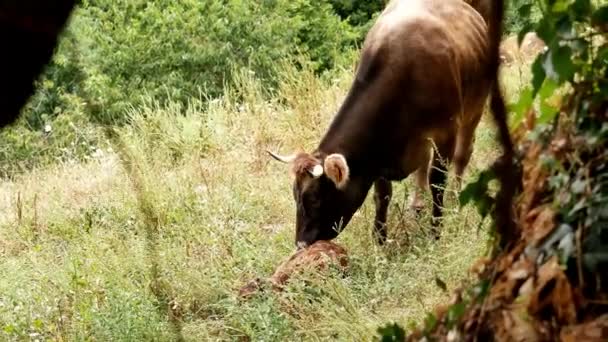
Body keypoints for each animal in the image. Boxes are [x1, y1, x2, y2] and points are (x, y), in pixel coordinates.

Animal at [270, 0, 504, 247]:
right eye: (295, 195)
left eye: (315, 199)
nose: (301, 244)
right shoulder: (381, 148)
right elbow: (382, 194)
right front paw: (380, 239)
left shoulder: (446, 131)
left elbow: (438, 181)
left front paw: (436, 232)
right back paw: (417, 205)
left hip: (475, 107)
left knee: (462, 154)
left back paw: (455, 198)